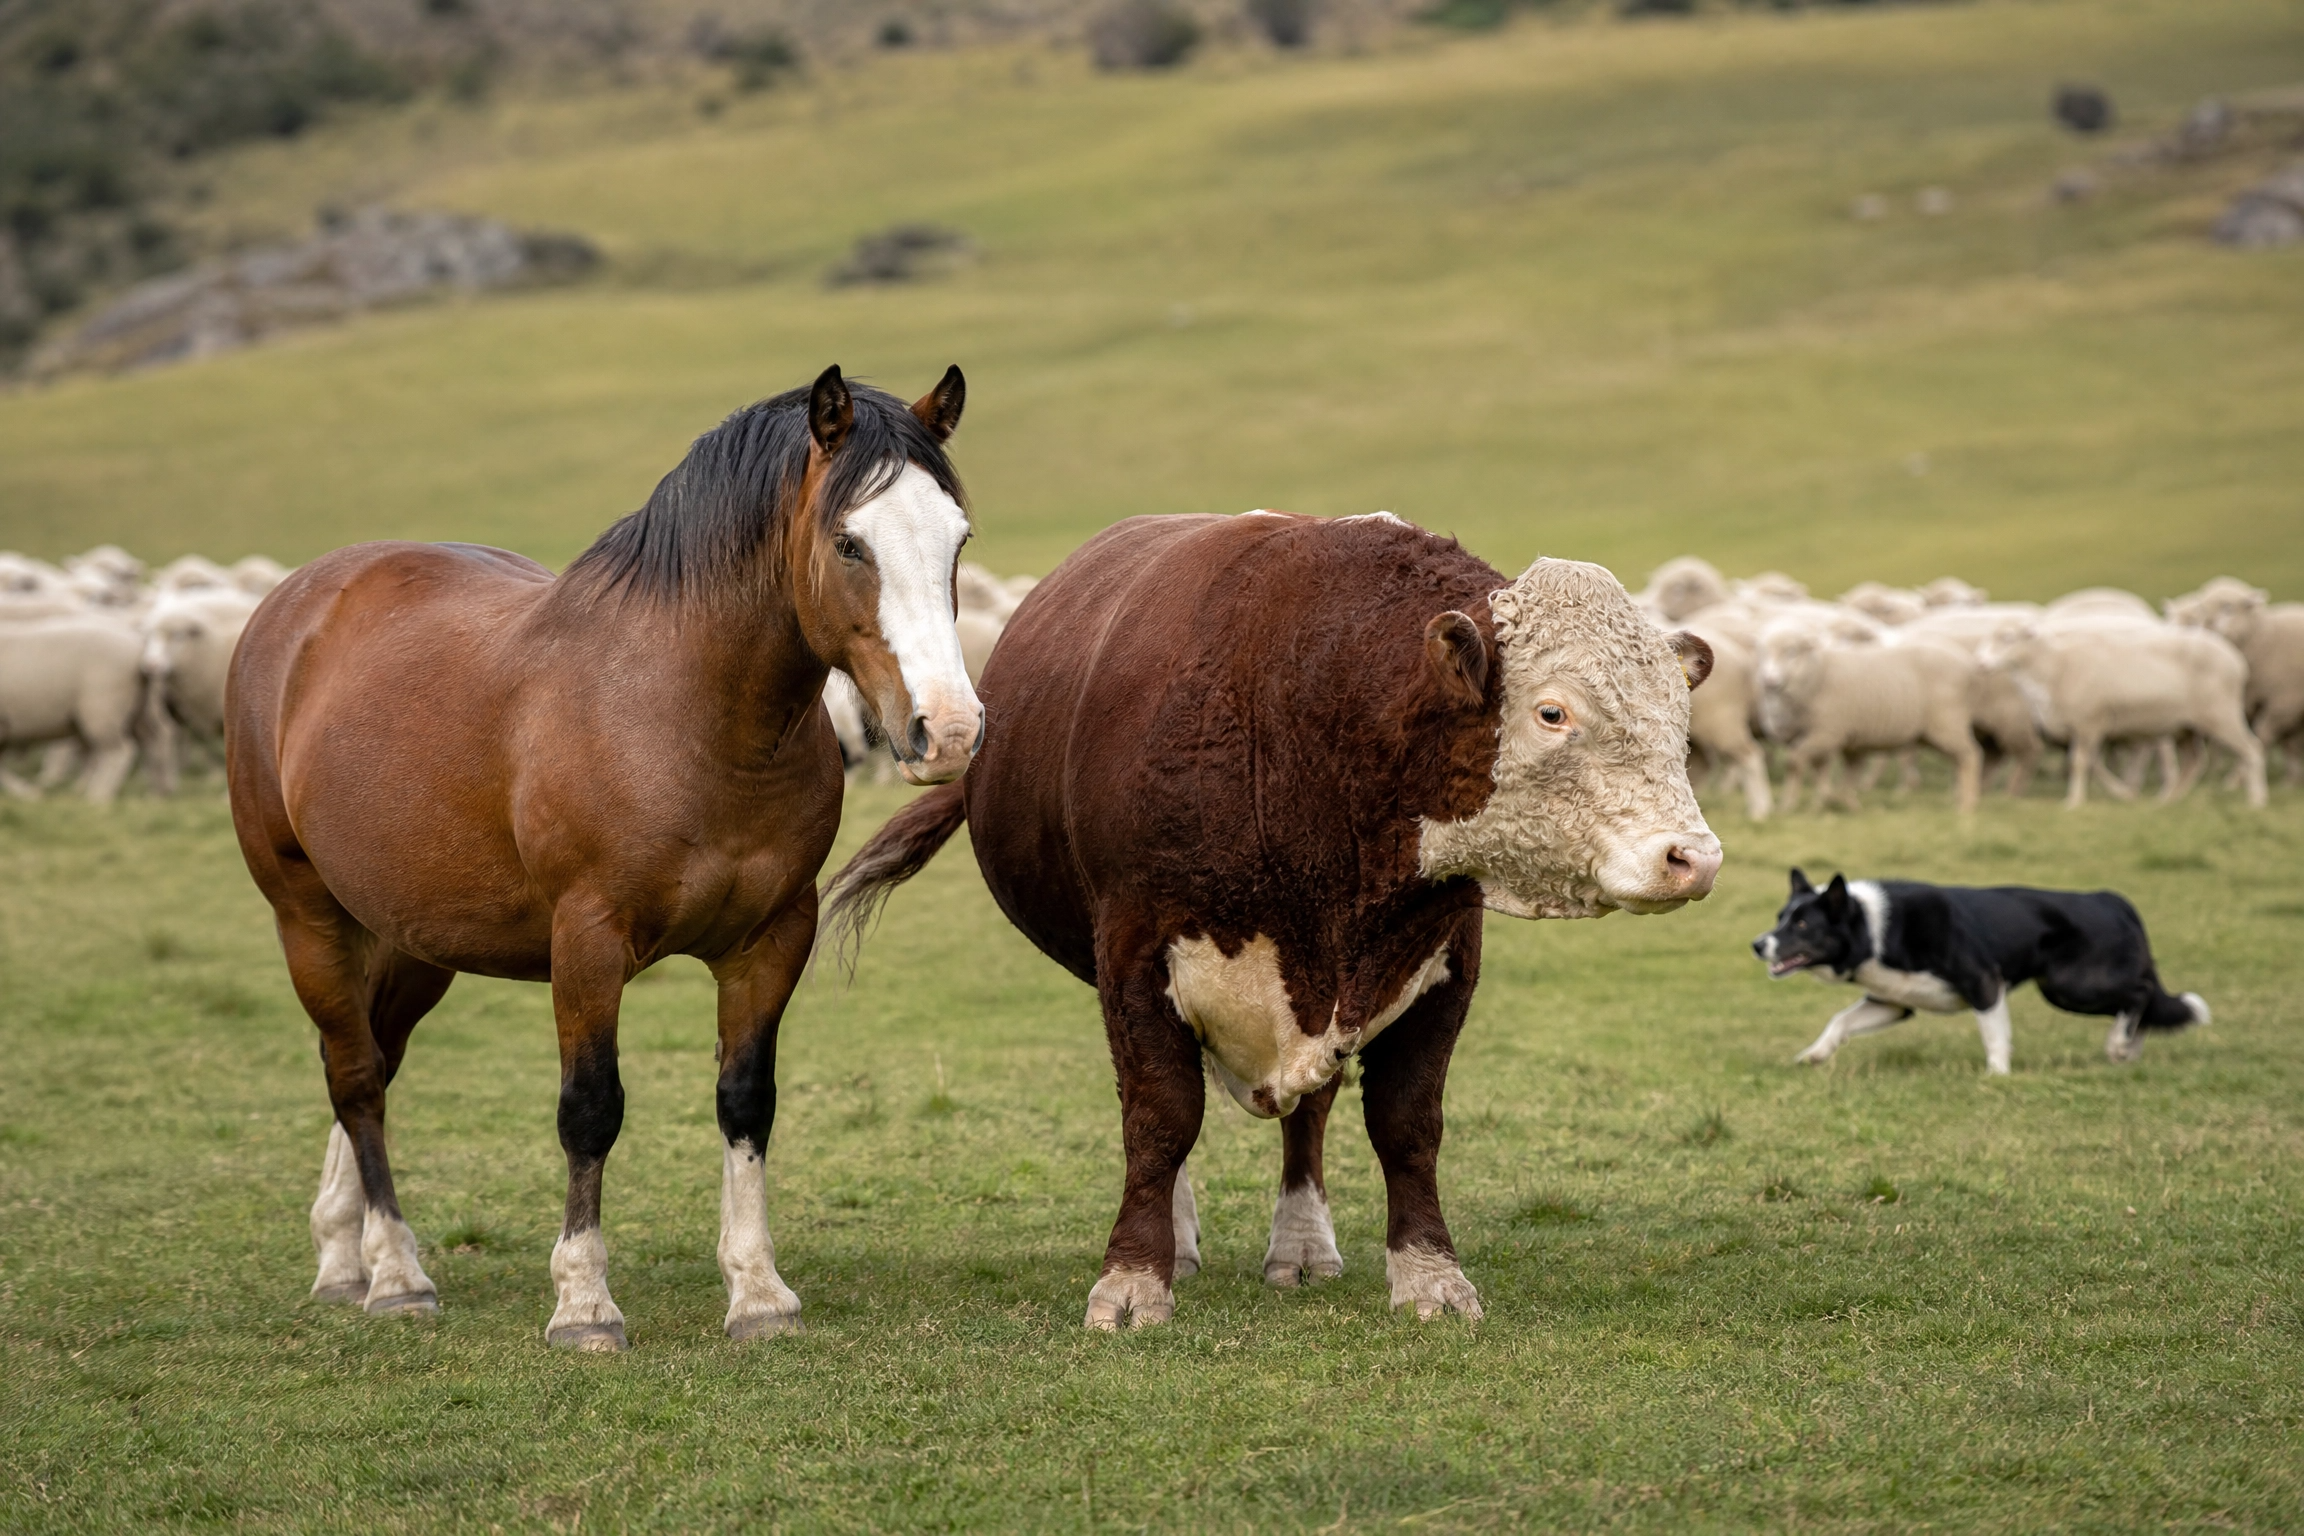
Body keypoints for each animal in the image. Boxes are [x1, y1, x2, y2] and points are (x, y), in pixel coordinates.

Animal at [226, 366, 980, 1350]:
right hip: (308, 917)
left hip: (412, 938)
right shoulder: (586, 942)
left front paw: (758, 1293)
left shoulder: (773, 938)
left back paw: (341, 1255)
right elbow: (590, 1110)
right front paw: (583, 1305)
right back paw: (394, 1272)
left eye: (958, 538)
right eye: (850, 542)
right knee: (355, 1079)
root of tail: (298, 603)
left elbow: (747, 1099)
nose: (949, 730)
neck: (686, 714)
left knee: (369, 1058)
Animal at [824, 511, 1721, 1330]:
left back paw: (1302, 1244)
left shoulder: (1442, 962)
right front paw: (1133, 1280)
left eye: (1679, 718)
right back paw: (1180, 1238)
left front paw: (1430, 1276)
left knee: (1309, 1113)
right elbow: (1159, 1116)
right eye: (1552, 713)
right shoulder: (1134, 955)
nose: (1695, 857)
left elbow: (1407, 1124)